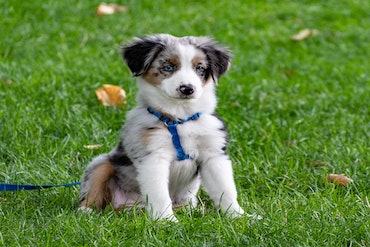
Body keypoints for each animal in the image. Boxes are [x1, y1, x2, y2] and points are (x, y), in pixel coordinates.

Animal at [79, 33, 244, 221]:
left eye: (200, 68)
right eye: (168, 67)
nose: (187, 89)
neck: (180, 118)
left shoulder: (213, 154)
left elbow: (226, 189)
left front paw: (239, 216)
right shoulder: (153, 156)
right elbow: (159, 193)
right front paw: (167, 220)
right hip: (101, 163)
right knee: (93, 189)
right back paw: (87, 210)